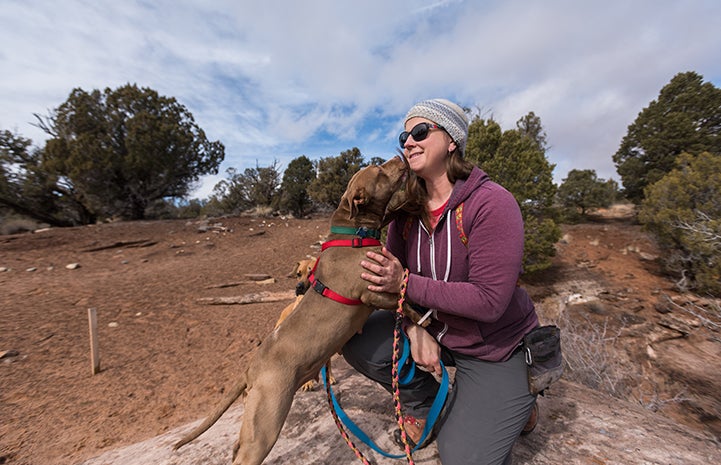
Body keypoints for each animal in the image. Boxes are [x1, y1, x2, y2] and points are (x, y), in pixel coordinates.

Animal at [174, 157, 408, 464]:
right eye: (379, 170)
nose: (401, 156)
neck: (353, 232)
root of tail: (250, 369)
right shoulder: (373, 292)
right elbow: (409, 301)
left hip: (253, 423)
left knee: (236, 447)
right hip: (265, 426)